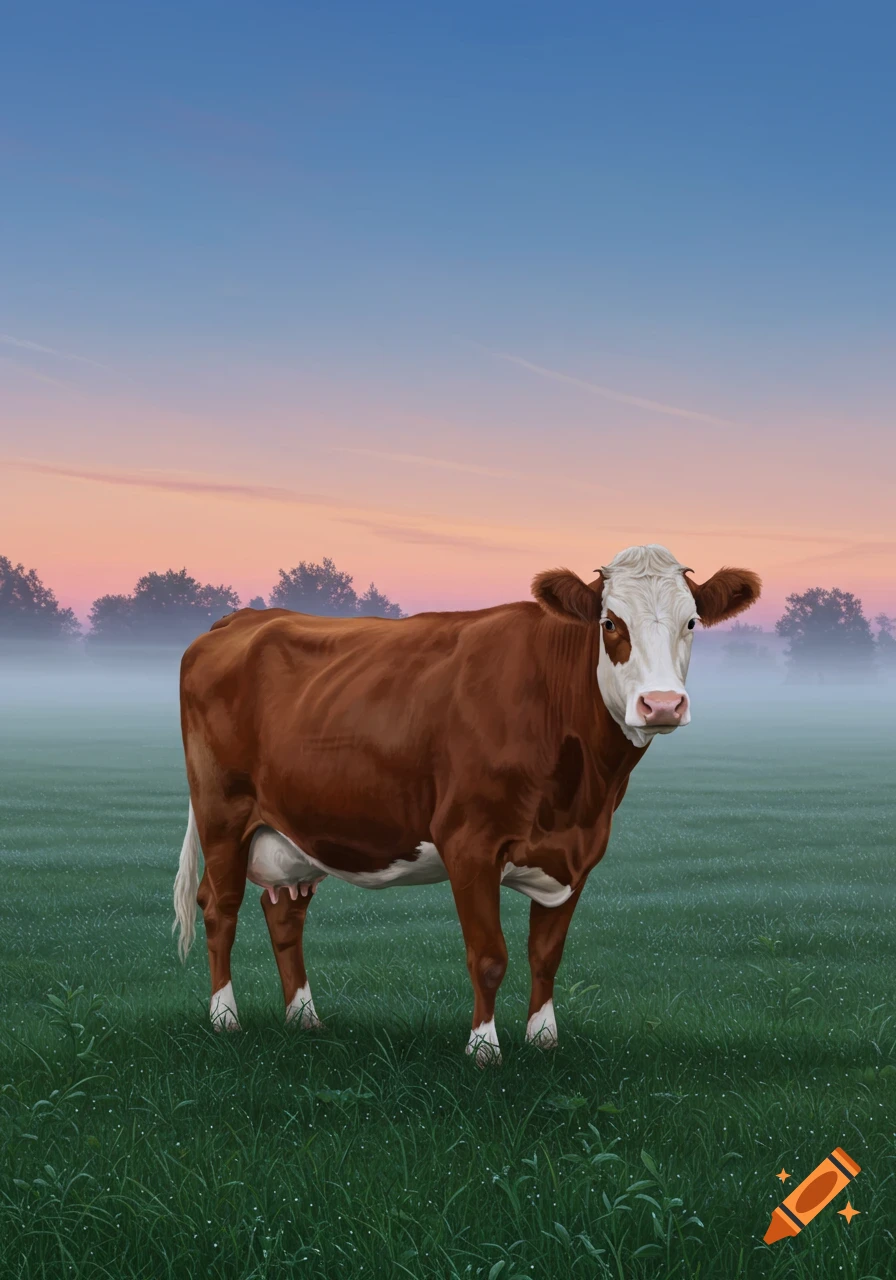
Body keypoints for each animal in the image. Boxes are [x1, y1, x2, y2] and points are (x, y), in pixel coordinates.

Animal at [173, 543, 760, 1064]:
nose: (661, 705)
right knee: (220, 908)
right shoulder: (470, 843)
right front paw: (483, 1050)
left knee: (285, 913)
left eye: (691, 622)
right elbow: (489, 956)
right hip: (223, 814)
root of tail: (240, 620)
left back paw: (304, 1019)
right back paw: (225, 1018)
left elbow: (546, 955)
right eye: (611, 624)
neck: (578, 797)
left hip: (293, 831)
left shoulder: (575, 854)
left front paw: (543, 1040)